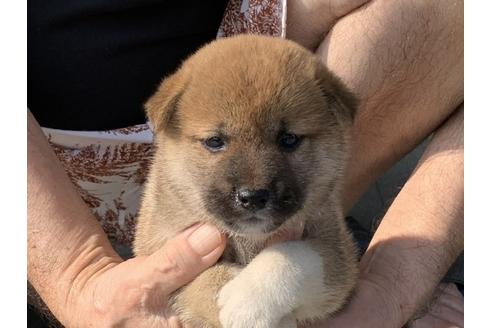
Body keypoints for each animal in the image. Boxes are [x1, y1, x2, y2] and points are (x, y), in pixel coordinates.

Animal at [133, 34, 360, 326]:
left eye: (289, 139)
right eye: (215, 141)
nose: (253, 197)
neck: (248, 239)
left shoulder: (337, 253)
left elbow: (296, 255)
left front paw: (248, 300)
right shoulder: (160, 255)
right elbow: (202, 280)